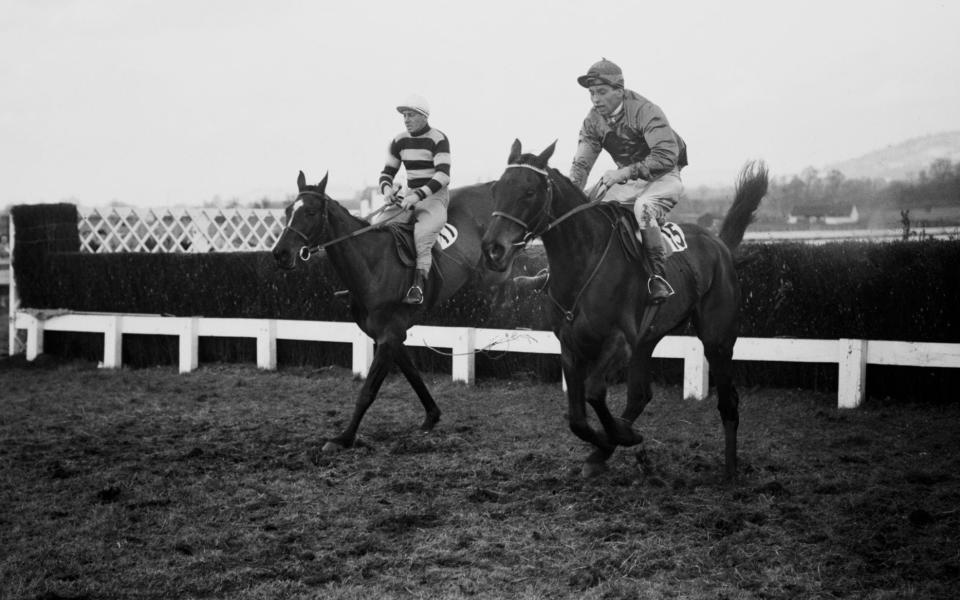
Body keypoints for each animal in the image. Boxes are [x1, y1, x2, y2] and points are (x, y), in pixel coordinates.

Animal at [276, 171, 502, 452]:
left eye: (310, 211)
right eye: (288, 210)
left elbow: (367, 392)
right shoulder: (389, 336)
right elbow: (412, 373)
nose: (280, 253)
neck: (373, 266)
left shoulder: (389, 336)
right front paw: (431, 416)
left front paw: (344, 438)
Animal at [484, 139, 768, 478]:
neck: (584, 262)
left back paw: (731, 471)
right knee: (640, 395)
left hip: (717, 338)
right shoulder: (571, 345)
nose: (492, 249)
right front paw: (607, 444)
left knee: (728, 402)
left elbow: (594, 391)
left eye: (529, 191)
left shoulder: (619, 341)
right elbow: (576, 419)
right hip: (647, 339)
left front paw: (621, 437)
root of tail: (719, 243)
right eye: (496, 188)